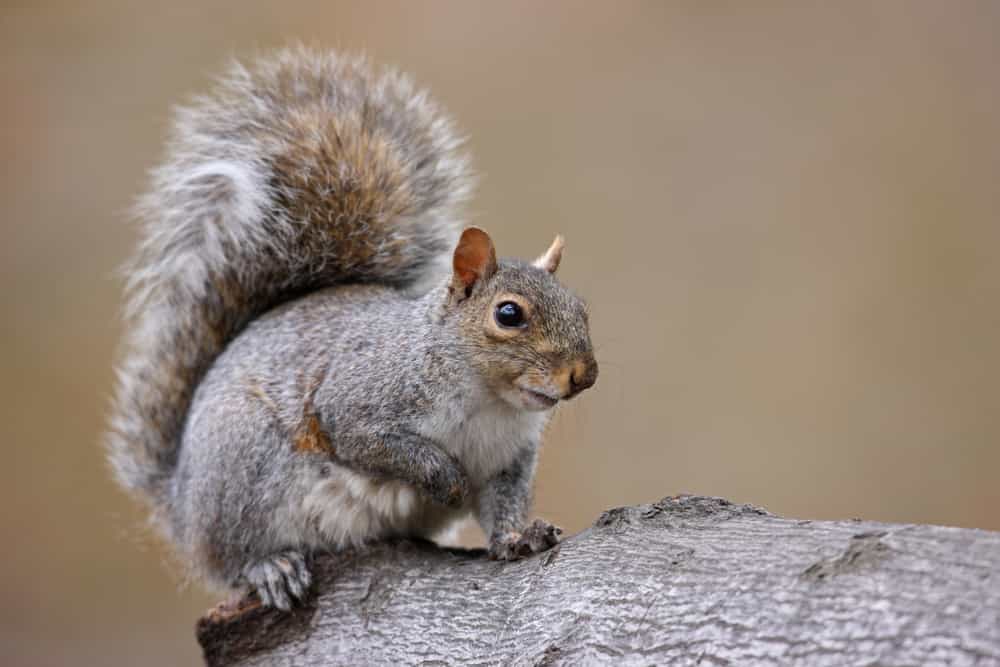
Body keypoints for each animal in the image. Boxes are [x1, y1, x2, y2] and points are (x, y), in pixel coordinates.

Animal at [106, 48, 598, 610]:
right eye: (509, 314)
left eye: (582, 307)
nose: (584, 375)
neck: (487, 399)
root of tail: (181, 503)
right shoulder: (359, 399)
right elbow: (369, 440)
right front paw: (442, 475)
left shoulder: (507, 460)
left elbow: (503, 505)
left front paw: (519, 537)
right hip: (243, 464)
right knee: (230, 557)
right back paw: (268, 566)